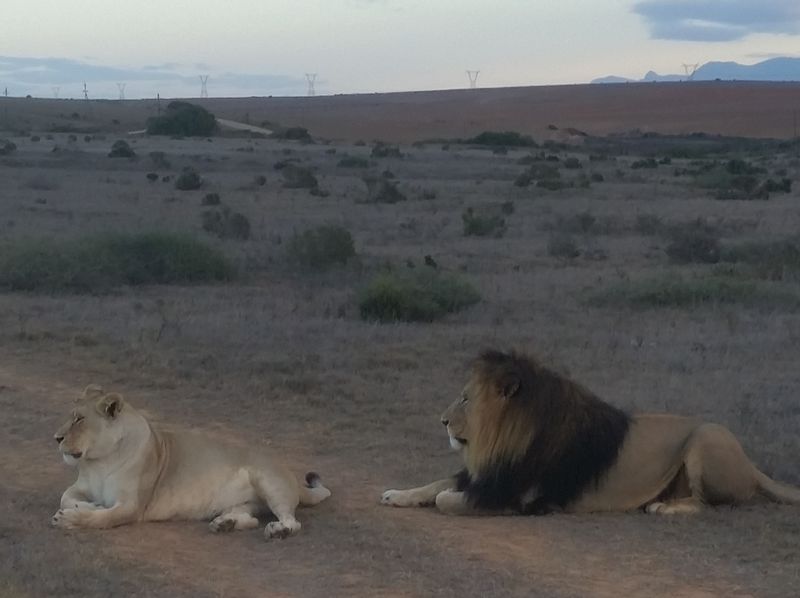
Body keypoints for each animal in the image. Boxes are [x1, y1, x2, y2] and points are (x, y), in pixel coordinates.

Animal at [382, 352, 800, 516]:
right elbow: (436, 484)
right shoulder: (489, 474)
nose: (442, 421)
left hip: (707, 436)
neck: (504, 438)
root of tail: (752, 465)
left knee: (707, 504)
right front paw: (397, 494)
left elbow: (446, 499)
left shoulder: (519, 496)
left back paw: (664, 507)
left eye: (466, 399)